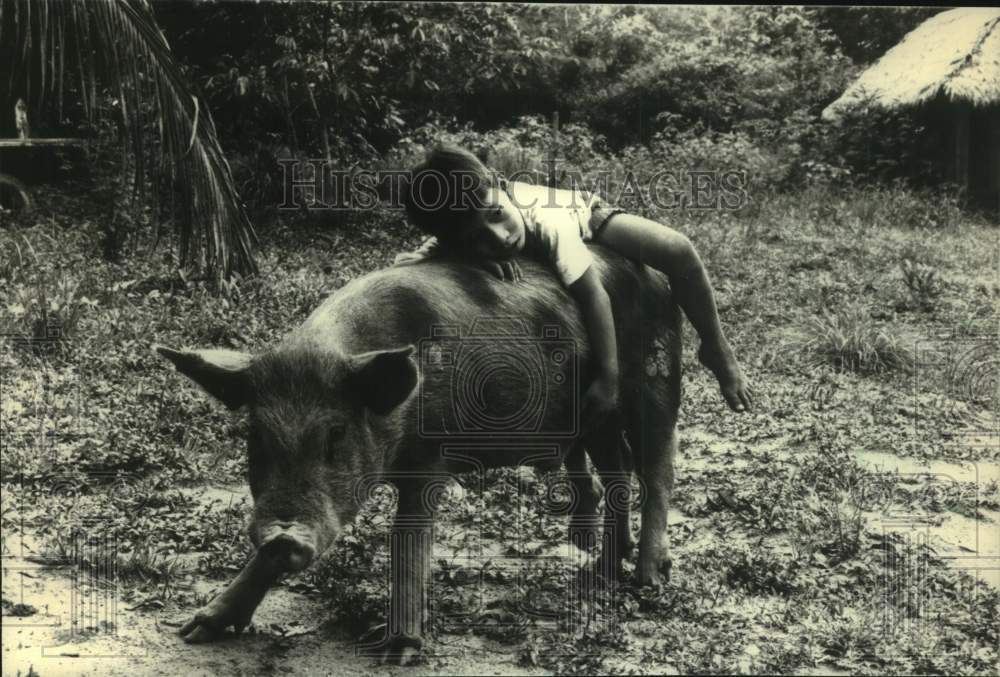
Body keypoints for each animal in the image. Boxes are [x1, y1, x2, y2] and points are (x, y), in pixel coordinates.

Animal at [154, 246, 680, 664]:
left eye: (335, 434)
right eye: (256, 435)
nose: (284, 536)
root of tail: (655, 275)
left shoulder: (429, 459)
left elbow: (409, 542)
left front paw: (398, 653)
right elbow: (261, 562)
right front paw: (194, 631)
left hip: (657, 380)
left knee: (656, 472)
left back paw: (647, 580)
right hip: (598, 421)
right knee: (616, 473)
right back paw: (603, 569)